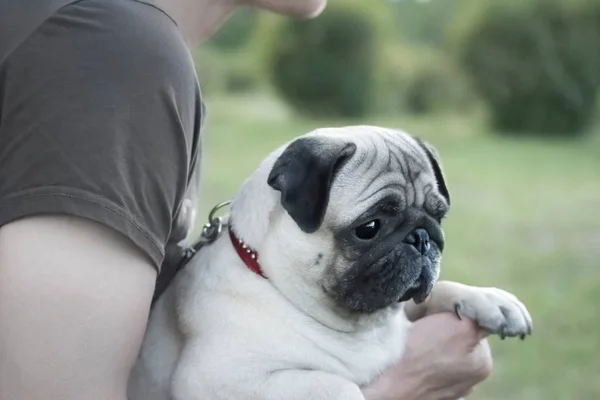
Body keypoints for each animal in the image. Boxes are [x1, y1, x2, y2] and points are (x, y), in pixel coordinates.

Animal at [129, 126, 532, 400]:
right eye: (369, 228)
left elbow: (438, 293)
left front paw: (492, 301)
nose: (421, 238)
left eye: (439, 215)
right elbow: (337, 386)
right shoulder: (220, 378)